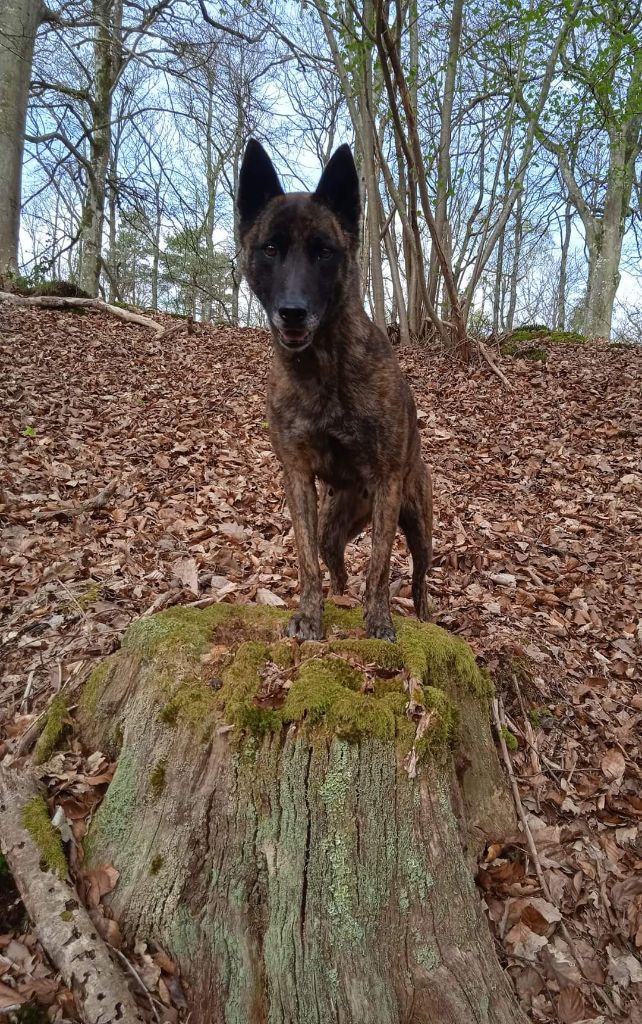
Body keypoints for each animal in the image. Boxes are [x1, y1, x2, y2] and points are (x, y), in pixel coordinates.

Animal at [238, 138, 434, 638]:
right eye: (271, 248)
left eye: (324, 252)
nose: (292, 311)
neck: (324, 368)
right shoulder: (298, 475)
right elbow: (307, 561)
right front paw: (310, 614)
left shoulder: (386, 481)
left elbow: (380, 566)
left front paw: (379, 619)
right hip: (334, 521)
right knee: (336, 562)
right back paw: (341, 598)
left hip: (418, 522)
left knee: (420, 575)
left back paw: (424, 614)